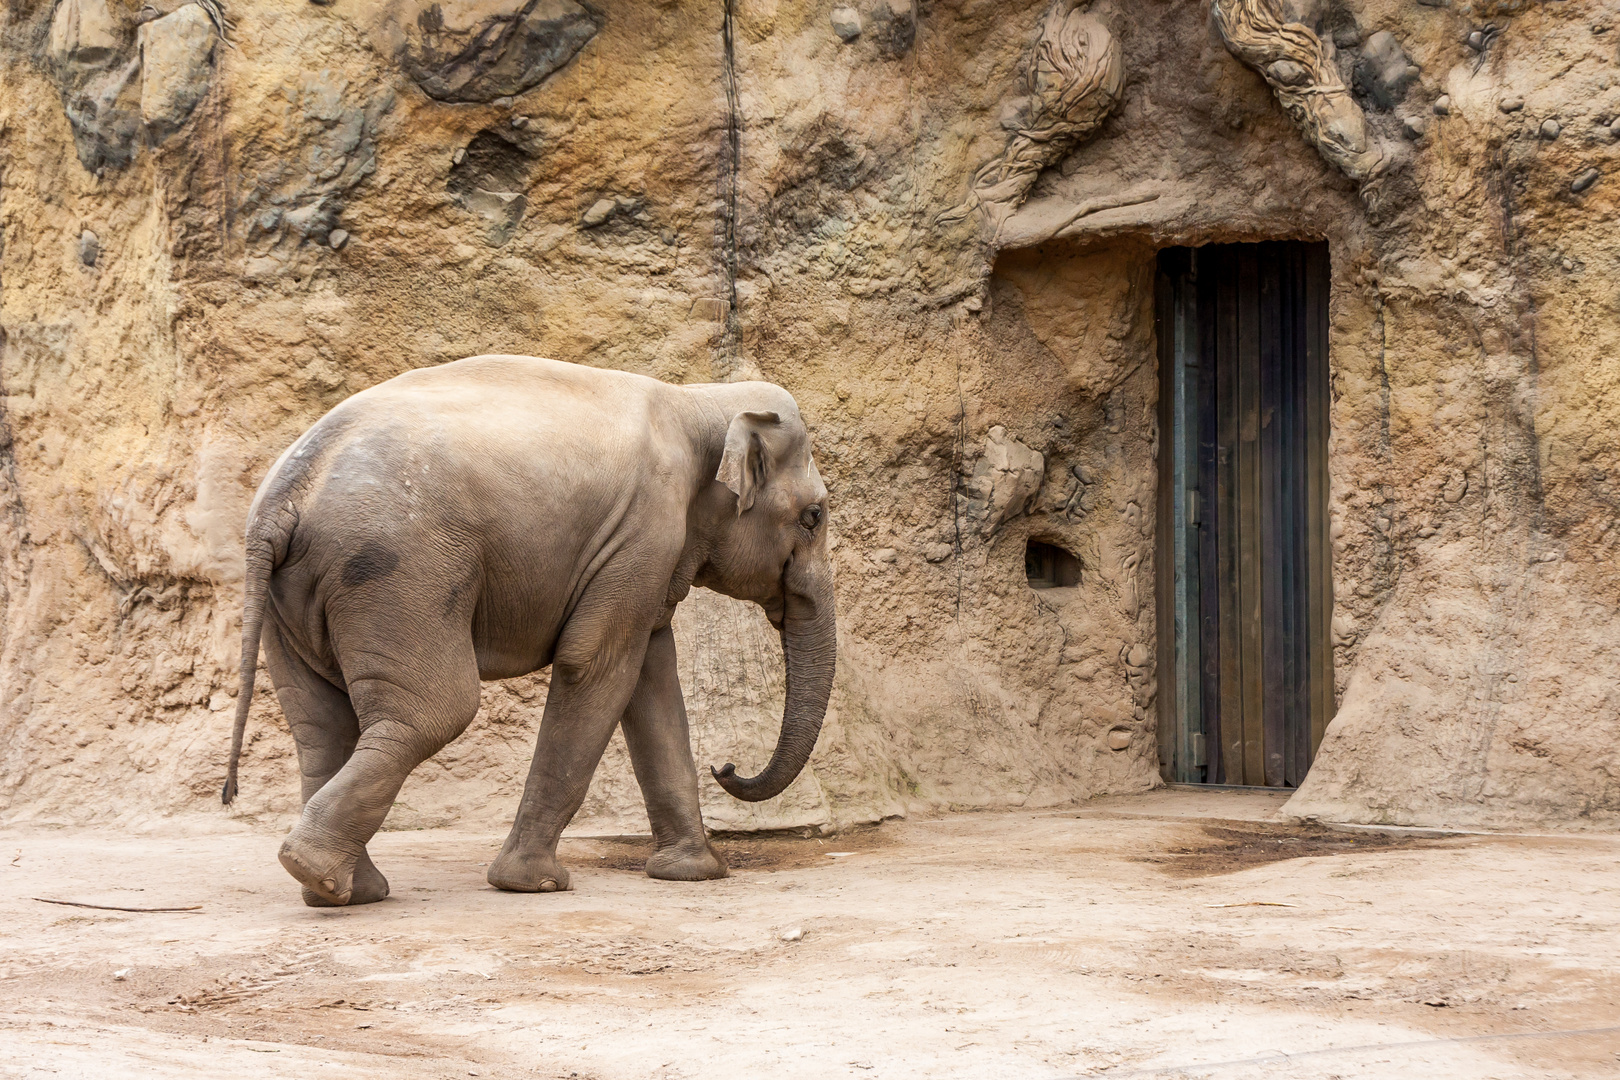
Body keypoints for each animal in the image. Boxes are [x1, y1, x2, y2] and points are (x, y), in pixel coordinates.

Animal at [220, 354, 835, 906]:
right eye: (814, 517)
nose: (725, 765)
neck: (698, 399)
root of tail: (283, 496)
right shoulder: (643, 531)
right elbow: (596, 665)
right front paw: (534, 884)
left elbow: (650, 675)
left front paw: (693, 873)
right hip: (399, 572)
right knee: (435, 711)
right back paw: (318, 871)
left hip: (293, 597)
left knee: (319, 723)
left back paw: (342, 891)